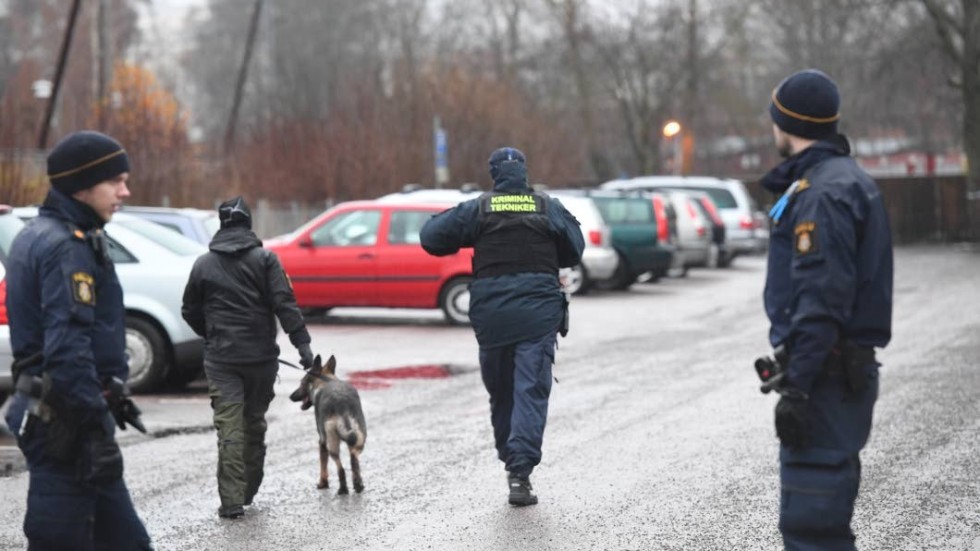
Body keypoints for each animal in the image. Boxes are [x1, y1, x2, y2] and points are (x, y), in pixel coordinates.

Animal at [289, 354, 367, 494]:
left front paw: (322, 483)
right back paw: (358, 484)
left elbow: (323, 465)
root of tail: (342, 403)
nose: (290, 396)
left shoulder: (321, 442)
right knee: (354, 459)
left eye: (302, 383)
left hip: (331, 443)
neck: (325, 381)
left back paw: (343, 489)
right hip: (359, 438)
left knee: (340, 468)